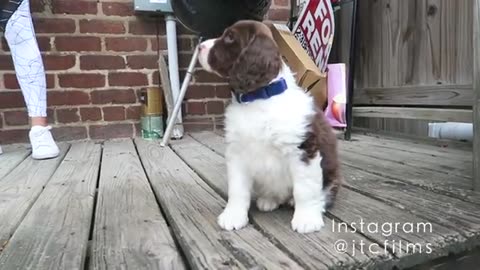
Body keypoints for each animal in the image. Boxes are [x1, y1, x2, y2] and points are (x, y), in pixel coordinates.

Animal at [197, 20, 340, 233]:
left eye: (230, 37)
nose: (199, 47)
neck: (259, 99)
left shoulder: (303, 150)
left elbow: (304, 189)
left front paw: (306, 219)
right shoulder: (237, 154)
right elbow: (237, 190)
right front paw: (233, 215)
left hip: (331, 175)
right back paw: (269, 200)